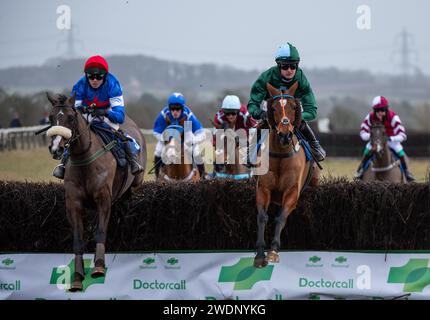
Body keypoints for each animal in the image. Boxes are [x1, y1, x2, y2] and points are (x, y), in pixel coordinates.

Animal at [45, 92, 146, 290]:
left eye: (71, 118)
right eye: (51, 118)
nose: (56, 149)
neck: (84, 158)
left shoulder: (103, 198)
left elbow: (100, 231)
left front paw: (98, 266)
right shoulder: (73, 203)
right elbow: (78, 239)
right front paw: (77, 277)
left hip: (134, 182)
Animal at [254, 82, 320, 268]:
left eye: (293, 107)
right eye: (273, 108)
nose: (285, 134)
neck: (281, 156)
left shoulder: (292, 192)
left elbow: (280, 218)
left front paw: (273, 251)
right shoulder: (263, 188)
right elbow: (262, 217)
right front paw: (260, 254)